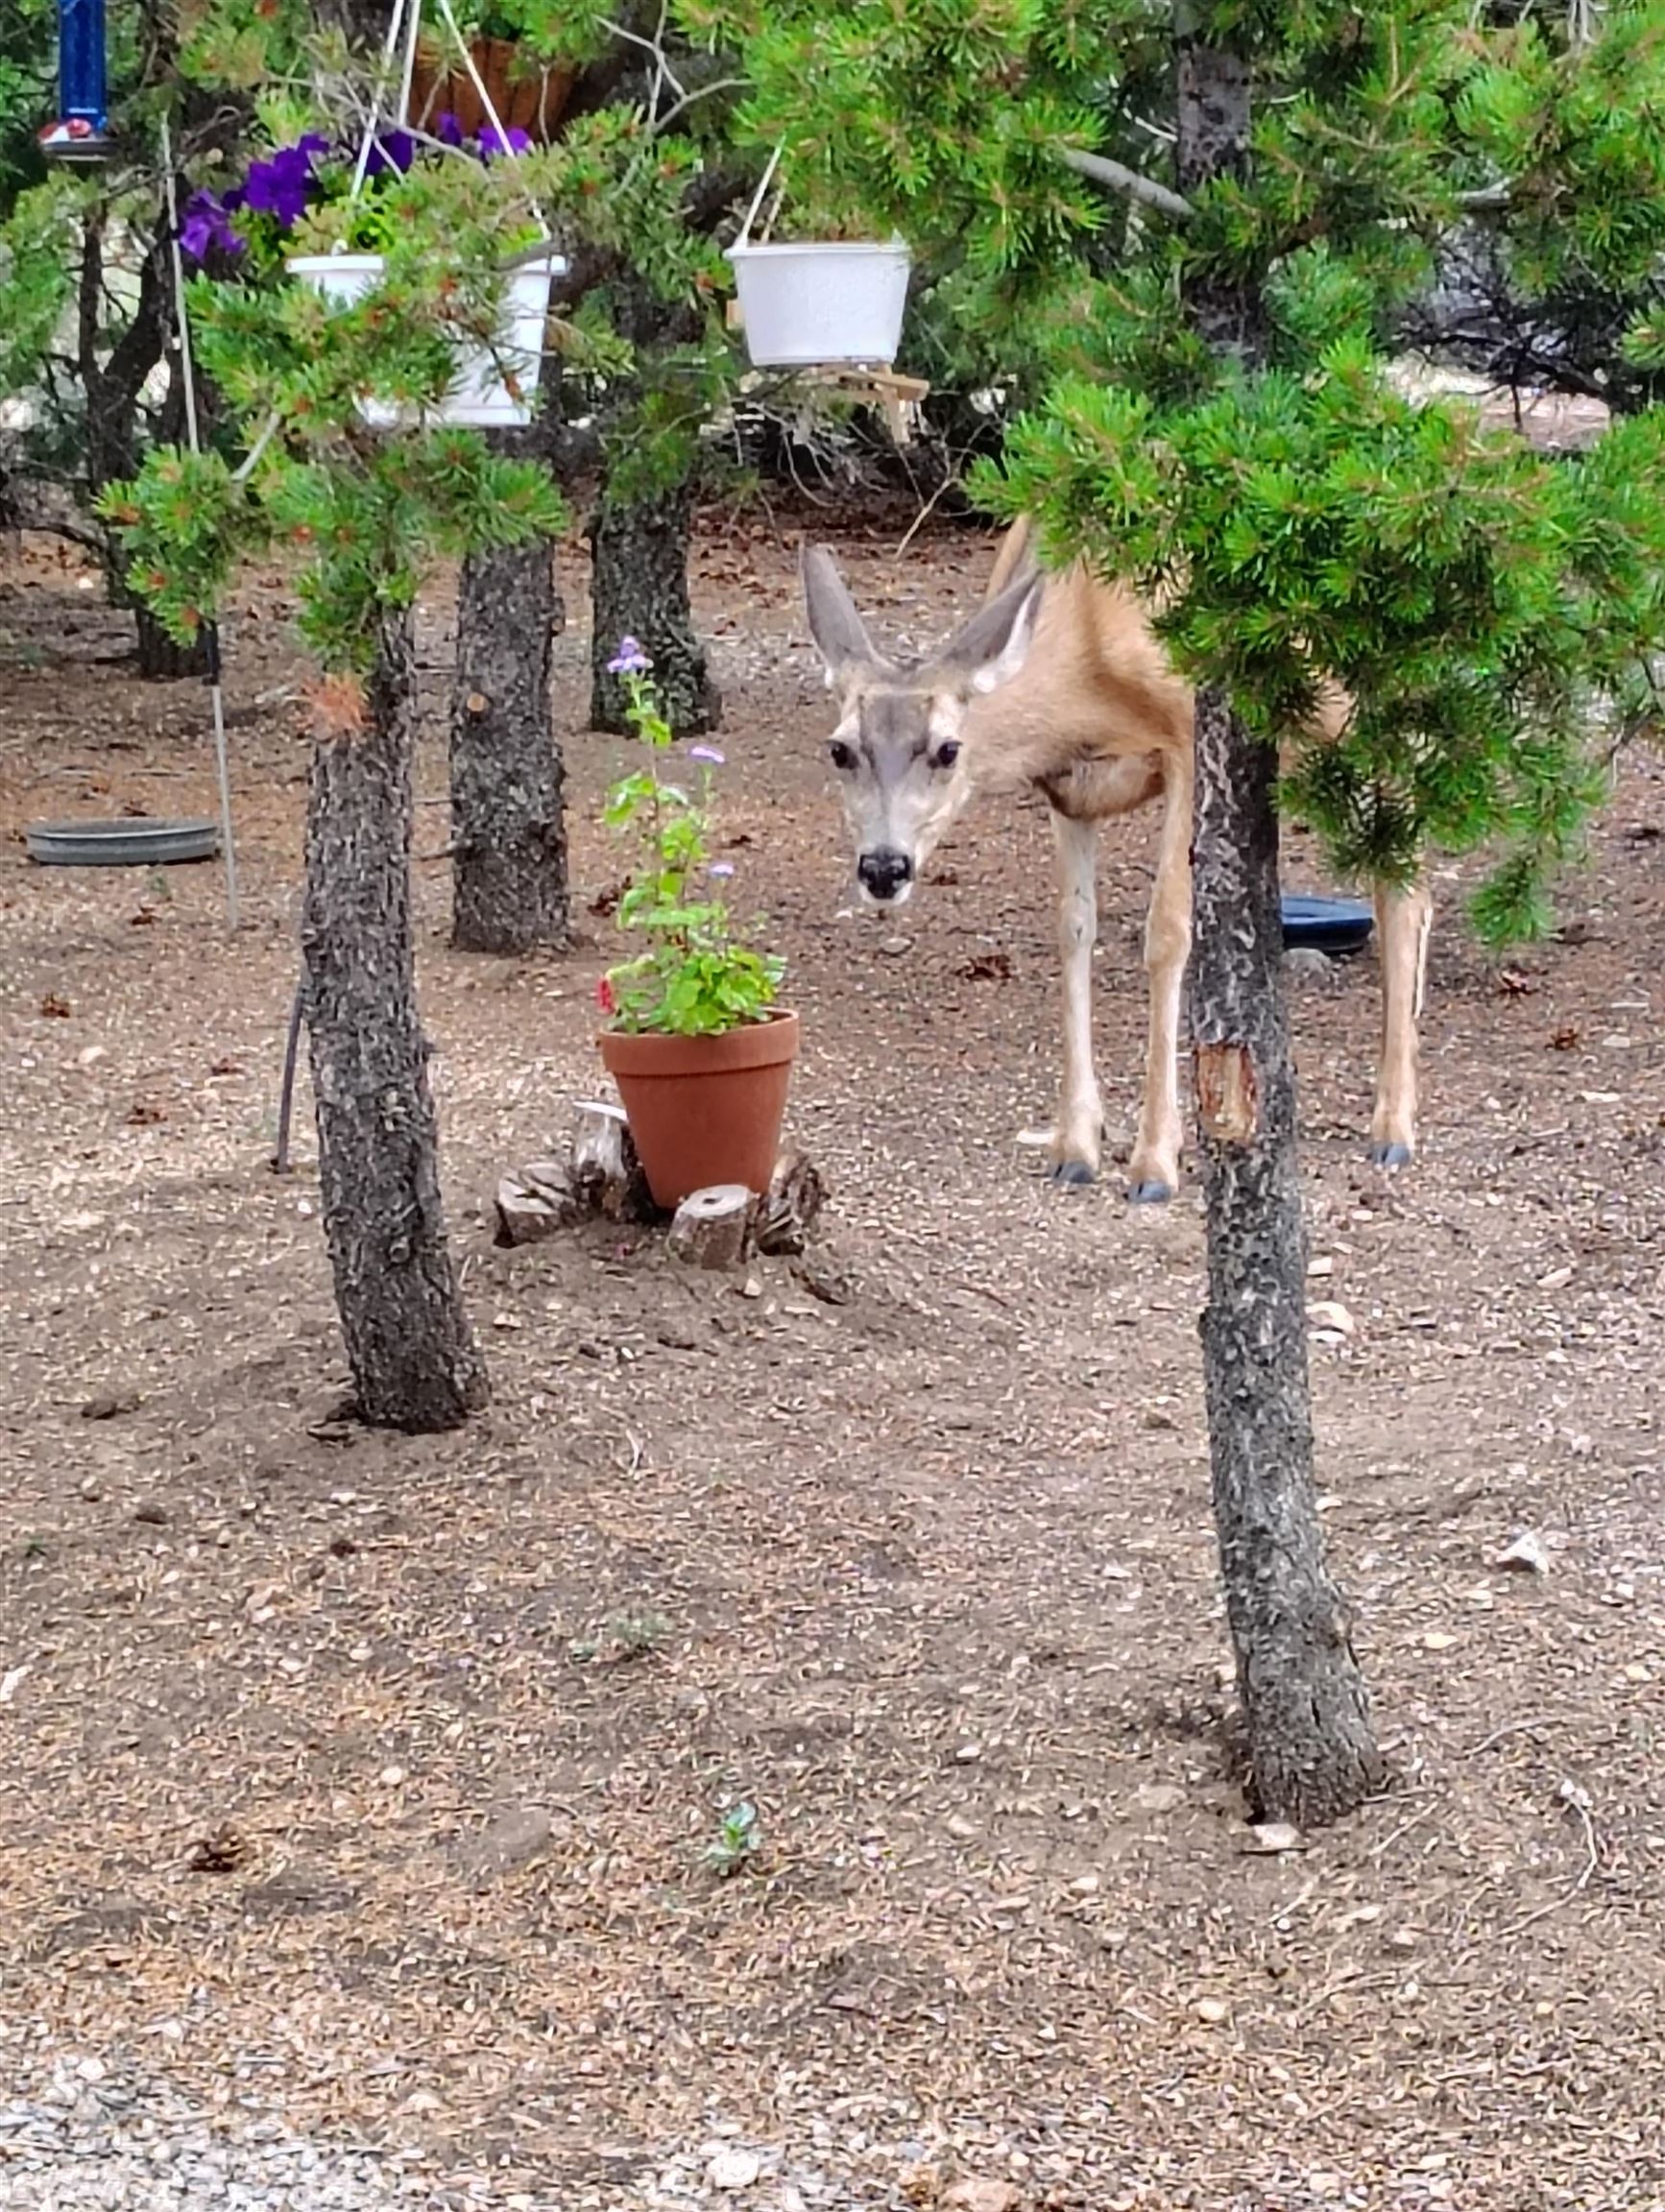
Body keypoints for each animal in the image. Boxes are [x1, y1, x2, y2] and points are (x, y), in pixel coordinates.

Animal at [801, 519, 1433, 1199]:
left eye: (948, 749)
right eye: (839, 750)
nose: (883, 868)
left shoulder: (1187, 741)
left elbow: (1168, 935)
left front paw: (1155, 1161)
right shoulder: (1066, 791)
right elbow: (1074, 930)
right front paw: (1076, 1146)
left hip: (1395, 701)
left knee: (1406, 888)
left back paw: (1393, 1128)